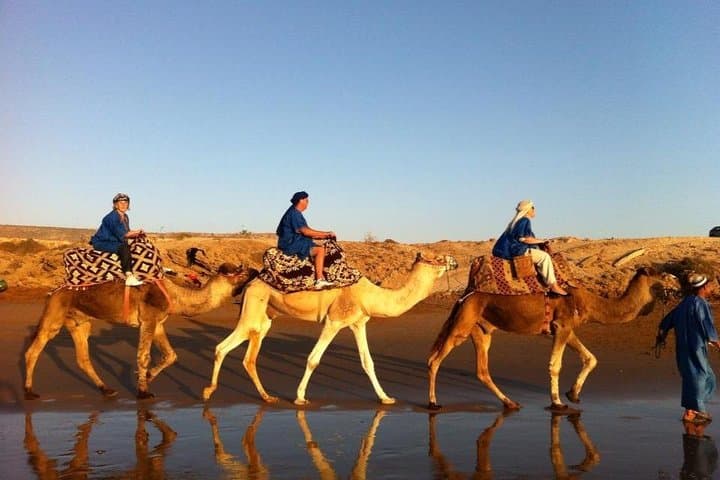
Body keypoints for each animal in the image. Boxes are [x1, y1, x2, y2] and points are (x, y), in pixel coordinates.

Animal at [24, 264, 255, 400]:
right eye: (240, 272)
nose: (255, 271)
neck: (175, 295)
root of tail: (53, 291)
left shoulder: (159, 322)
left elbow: (171, 355)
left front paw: (148, 377)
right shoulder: (148, 320)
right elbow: (143, 355)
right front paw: (143, 391)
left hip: (80, 322)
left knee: (82, 358)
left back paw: (107, 389)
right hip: (55, 313)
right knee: (33, 350)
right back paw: (29, 391)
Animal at [202, 252, 458, 405]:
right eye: (437, 258)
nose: (454, 261)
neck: (369, 295)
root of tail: (251, 282)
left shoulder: (357, 323)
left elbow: (368, 362)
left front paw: (386, 398)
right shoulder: (334, 321)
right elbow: (313, 359)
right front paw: (300, 398)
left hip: (264, 317)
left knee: (248, 355)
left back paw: (266, 397)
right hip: (253, 310)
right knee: (222, 347)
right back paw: (208, 391)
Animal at [428, 267, 672, 411]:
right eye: (665, 276)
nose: (679, 281)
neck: (589, 303)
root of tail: (463, 297)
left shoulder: (566, 329)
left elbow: (591, 358)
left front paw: (573, 394)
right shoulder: (561, 326)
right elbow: (555, 365)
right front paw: (557, 402)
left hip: (481, 329)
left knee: (481, 370)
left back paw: (510, 403)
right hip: (463, 324)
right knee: (434, 360)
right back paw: (433, 402)